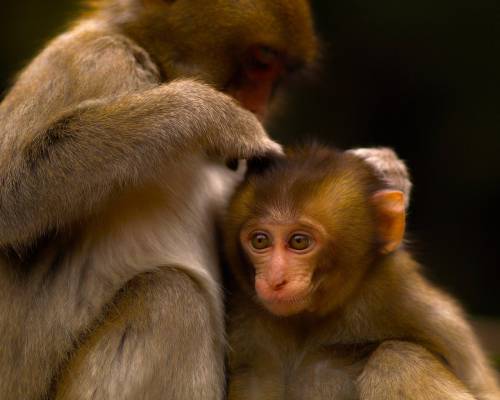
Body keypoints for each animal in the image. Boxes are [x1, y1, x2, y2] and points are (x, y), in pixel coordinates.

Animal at [0, 0, 406, 400]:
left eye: (276, 74)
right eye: (261, 61)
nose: (259, 106)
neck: (151, 61)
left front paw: (386, 169)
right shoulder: (94, 62)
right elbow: (11, 194)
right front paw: (212, 114)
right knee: (172, 299)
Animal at [225, 146, 498, 400]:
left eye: (299, 242)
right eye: (260, 240)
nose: (275, 280)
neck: (308, 322)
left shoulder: (416, 304)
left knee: (398, 359)